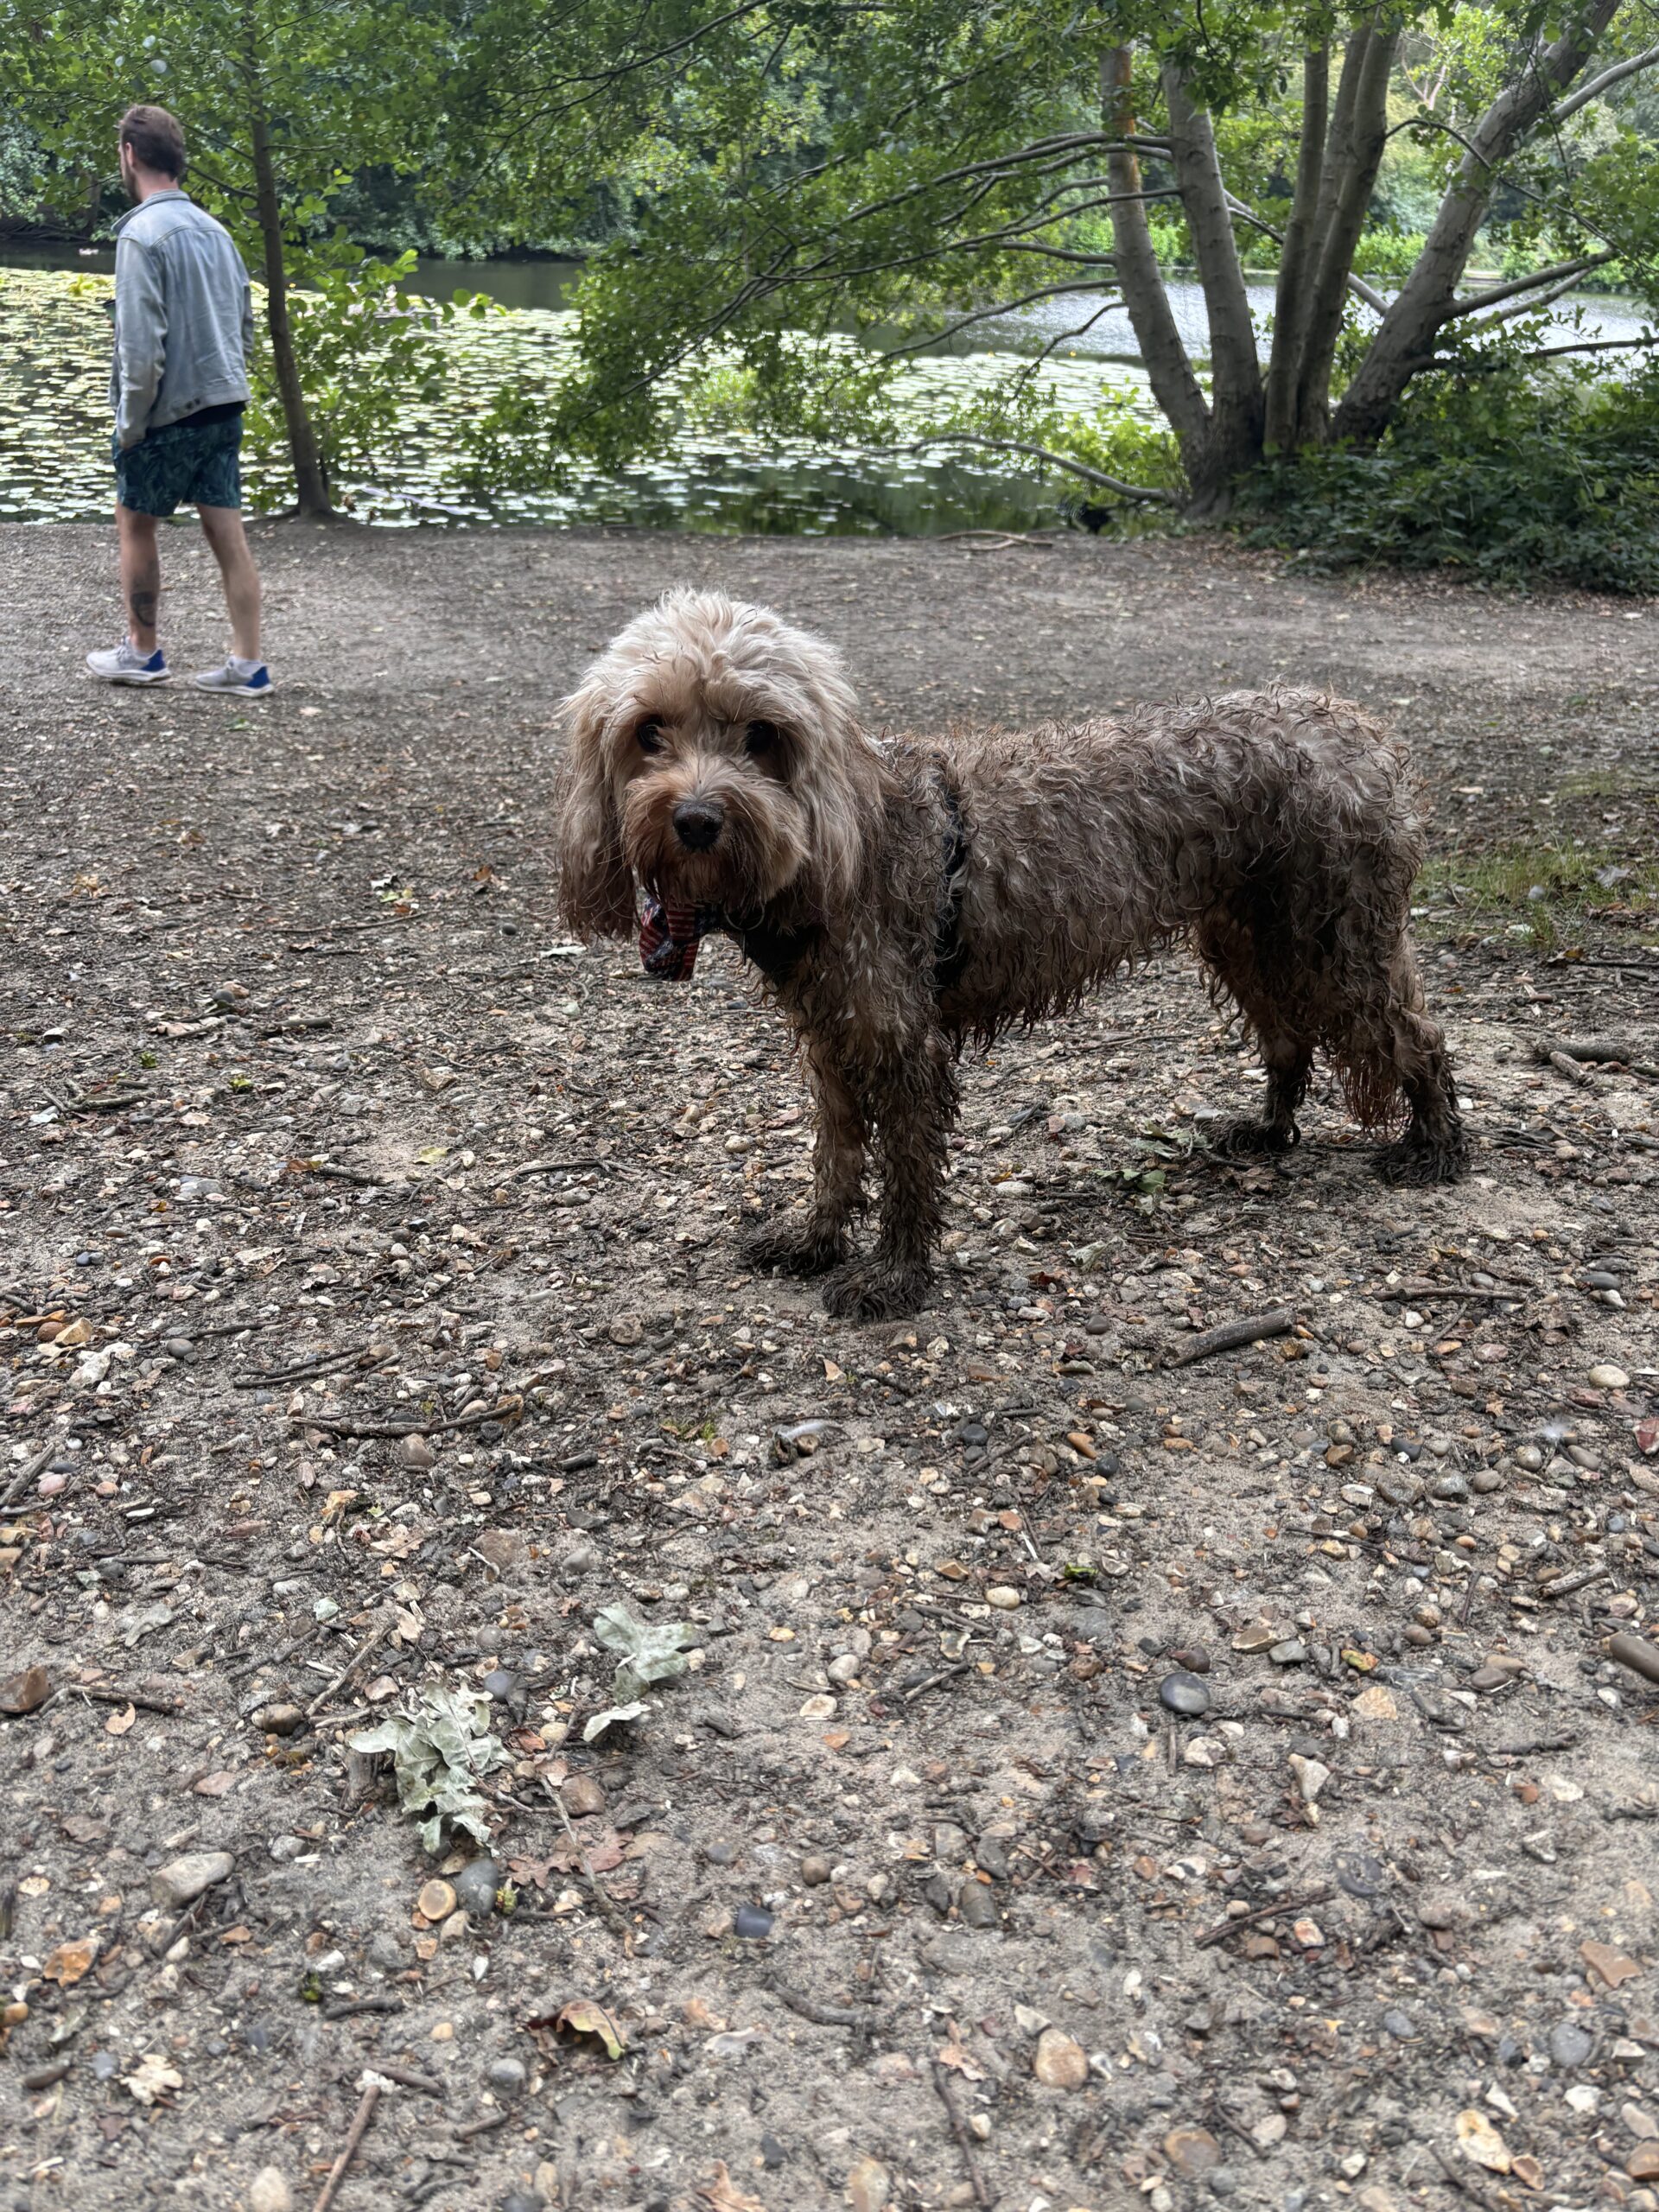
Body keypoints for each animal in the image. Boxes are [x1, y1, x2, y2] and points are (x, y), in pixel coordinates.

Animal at [556, 589, 1468, 1320]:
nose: (696, 819)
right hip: (1245, 937)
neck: (837, 840)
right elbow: (837, 1156)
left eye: (761, 734)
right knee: (1287, 1036)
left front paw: (894, 1277)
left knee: (1415, 1038)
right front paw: (815, 1239)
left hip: (1332, 941)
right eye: (649, 732)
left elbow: (908, 1172)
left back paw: (1436, 1148)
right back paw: (1272, 1129)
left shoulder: (904, 1043)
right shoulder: (833, 1039)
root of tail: (1359, 729)